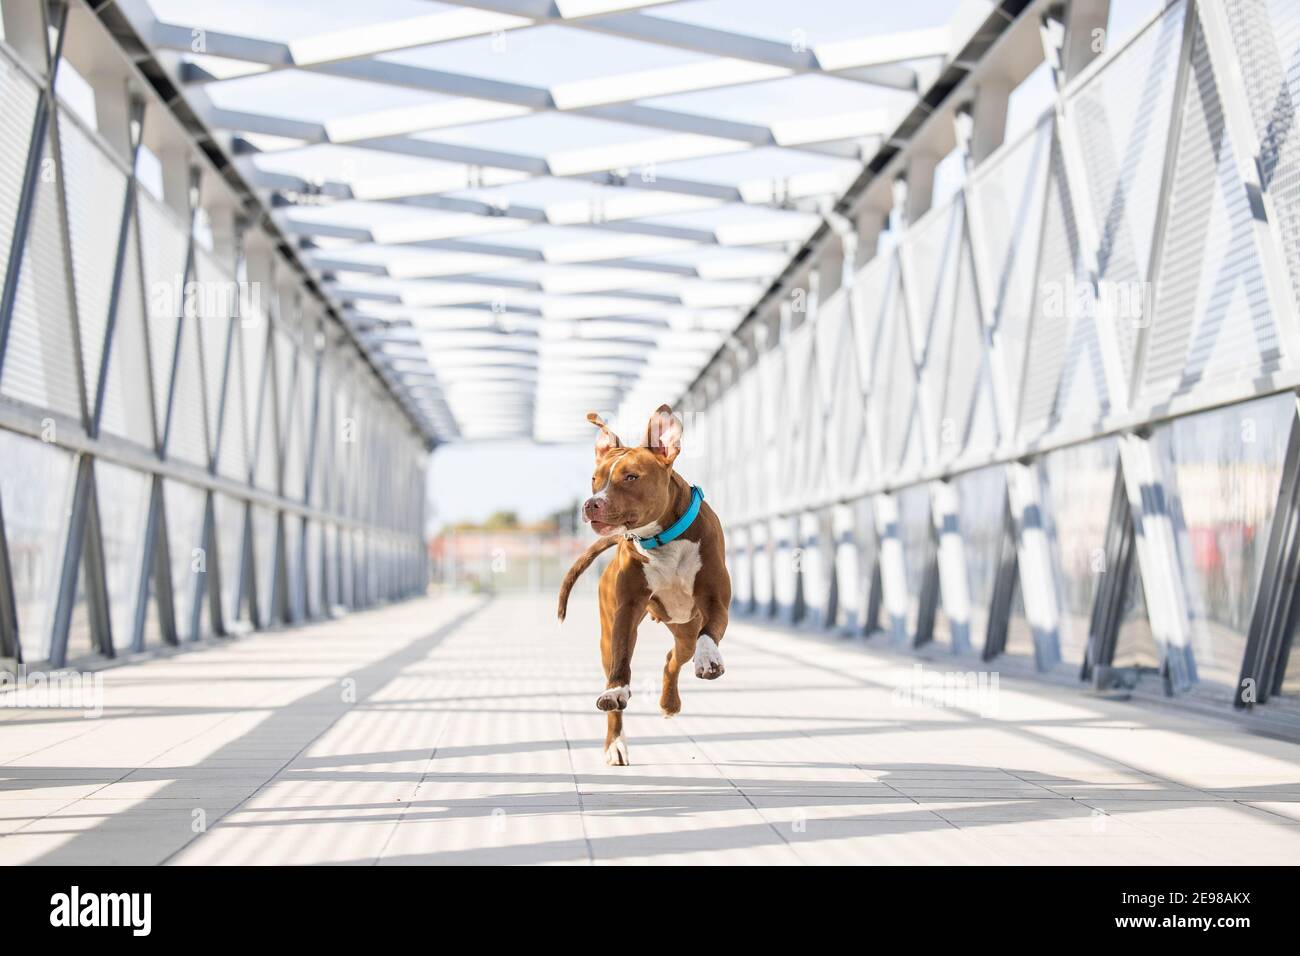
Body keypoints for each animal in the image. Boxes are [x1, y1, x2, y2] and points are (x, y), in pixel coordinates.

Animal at [559, 408, 733, 764]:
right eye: (595, 479)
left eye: (631, 477)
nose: (591, 503)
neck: (661, 539)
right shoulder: (626, 609)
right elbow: (622, 656)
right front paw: (616, 689)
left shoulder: (715, 600)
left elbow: (710, 633)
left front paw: (709, 660)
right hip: (613, 632)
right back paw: (616, 743)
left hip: (686, 628)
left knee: (675, 657)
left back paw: (670, 702)